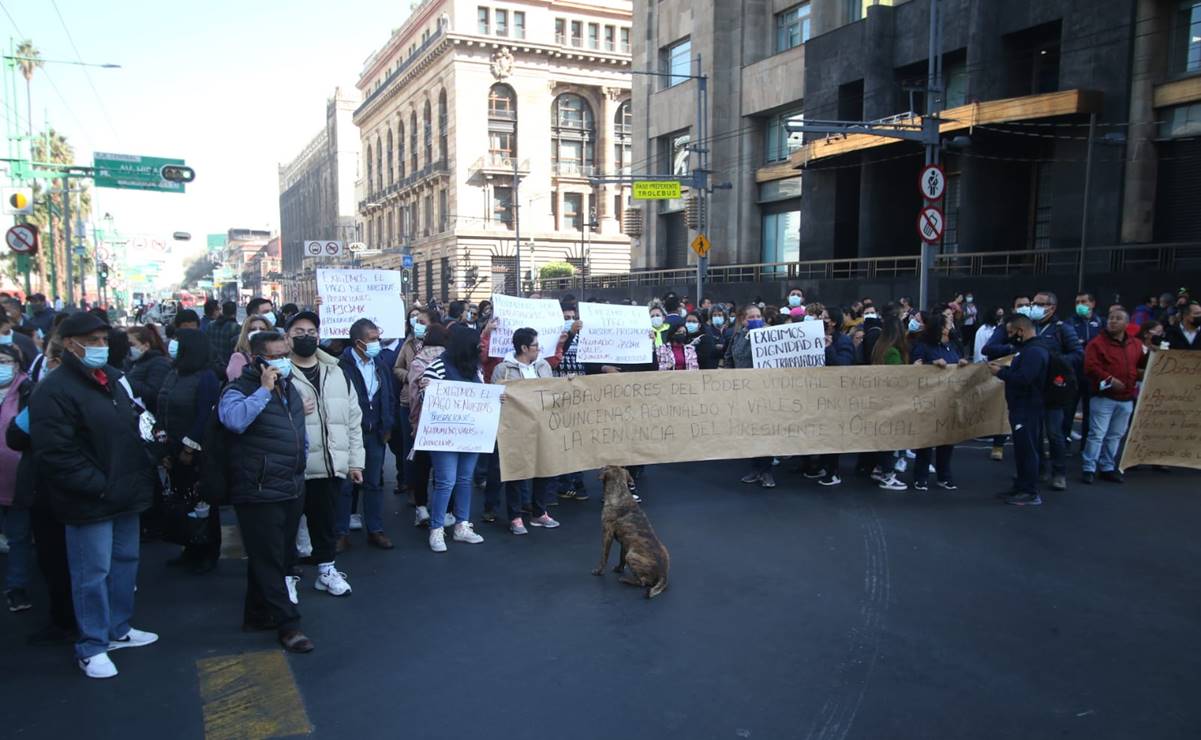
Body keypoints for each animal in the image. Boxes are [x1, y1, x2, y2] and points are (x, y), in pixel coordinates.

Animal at [593, 466, 672, 598]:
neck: (620, 493)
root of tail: (663, 575)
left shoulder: (607, 533)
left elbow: (604, 556)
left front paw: (598, 571)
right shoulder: (624, 544)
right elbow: (621, 558)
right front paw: (619, 569)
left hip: (632, 556)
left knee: (643, 582)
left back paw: (626, 580)